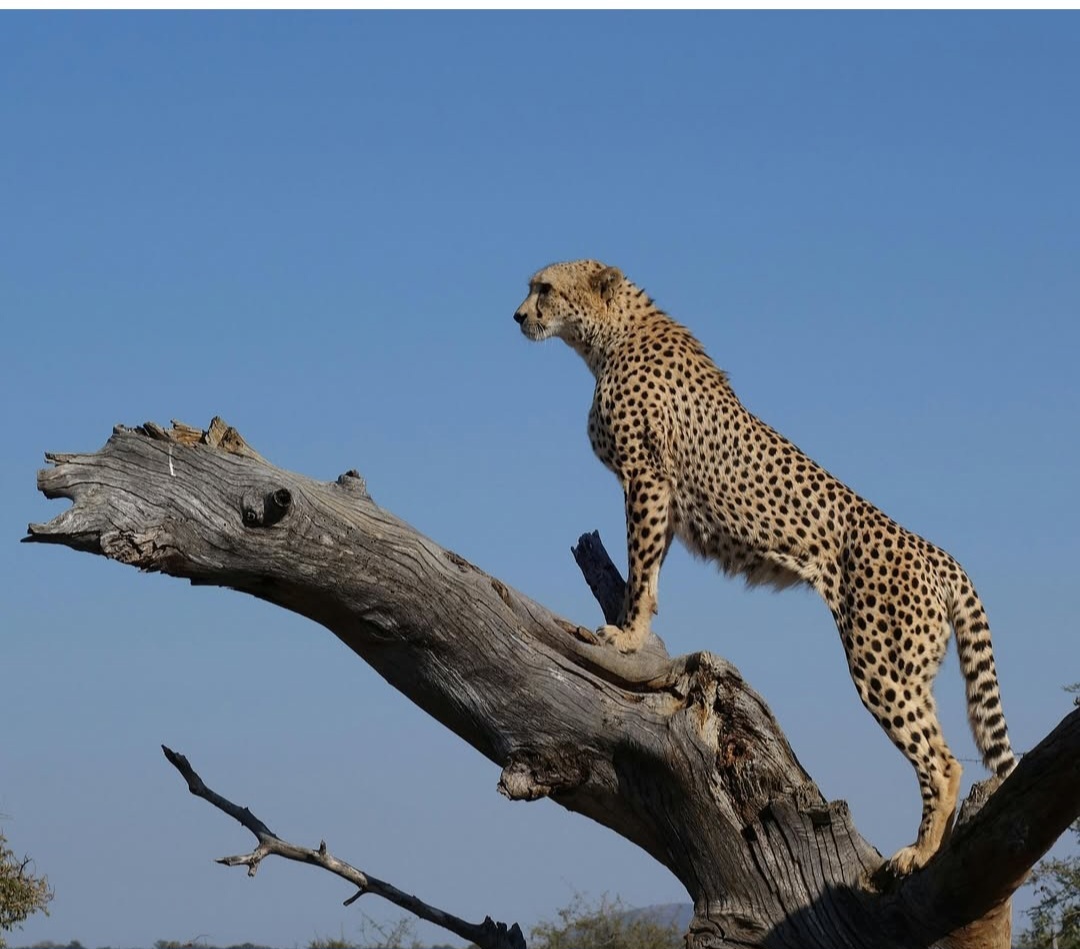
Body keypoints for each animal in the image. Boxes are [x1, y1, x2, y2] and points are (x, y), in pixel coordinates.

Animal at [513, 258, 1016, 874]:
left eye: (544, 289)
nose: (518, 316)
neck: (608, 339)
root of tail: (940, 555)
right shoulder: (663, 495)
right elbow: (650, 573)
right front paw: (636, 627)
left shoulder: (646, 479)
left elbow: (641, 565)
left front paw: (627, 637)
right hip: (914, 669)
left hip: (880, 664)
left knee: (943, 761)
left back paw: (918, 852)